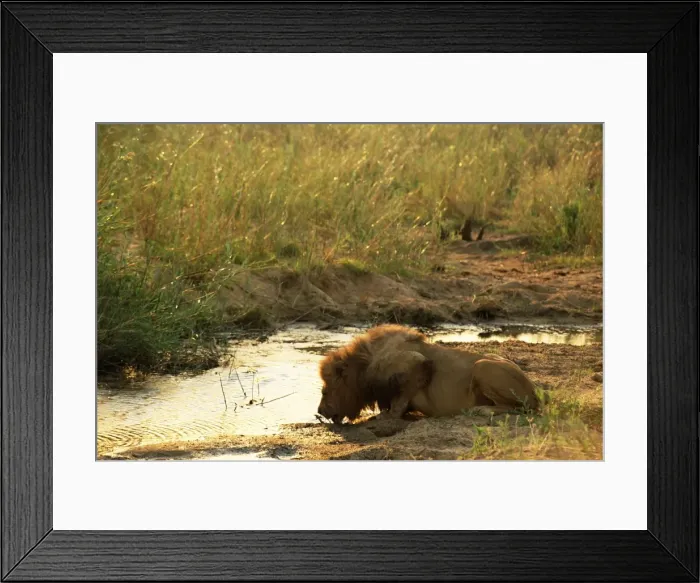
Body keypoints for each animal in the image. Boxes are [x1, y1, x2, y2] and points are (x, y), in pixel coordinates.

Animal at [317, 324, 541, 424]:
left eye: (325, 392)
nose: (319, 411)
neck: (364, 365)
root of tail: (534, 392)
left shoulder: (418, 361)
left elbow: (399, 402)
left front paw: (386, 416)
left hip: (482, 366)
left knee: (520, 408)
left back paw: (482, 410)